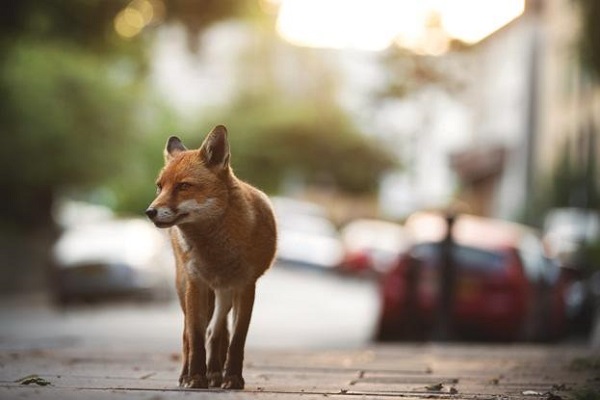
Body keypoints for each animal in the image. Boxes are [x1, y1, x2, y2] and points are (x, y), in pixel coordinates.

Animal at [145, 126, 276, 390]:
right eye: (159, 187)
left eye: (183, 186)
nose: (149, 212)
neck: (216, 253)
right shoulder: (197, 284)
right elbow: (195, 338)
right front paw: (196, 377)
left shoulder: (245, 286)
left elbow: (236, 340)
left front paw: (232, 378)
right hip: (189, 290)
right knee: (189, 335)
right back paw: (189, 374)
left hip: (224, 296)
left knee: (218, 333)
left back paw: (216, 373)